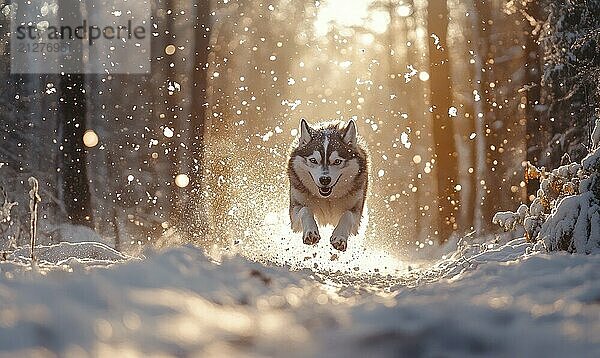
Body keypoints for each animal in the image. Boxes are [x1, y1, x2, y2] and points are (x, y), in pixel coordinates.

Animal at [288, 119, 368, 250]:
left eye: (337, 161)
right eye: (313, 160)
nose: (324, 179)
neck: (328, 199)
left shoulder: (356, 211)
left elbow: (347, 215)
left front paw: (339, 238)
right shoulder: (295, 210)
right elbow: (305, 210)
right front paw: (311, 232)